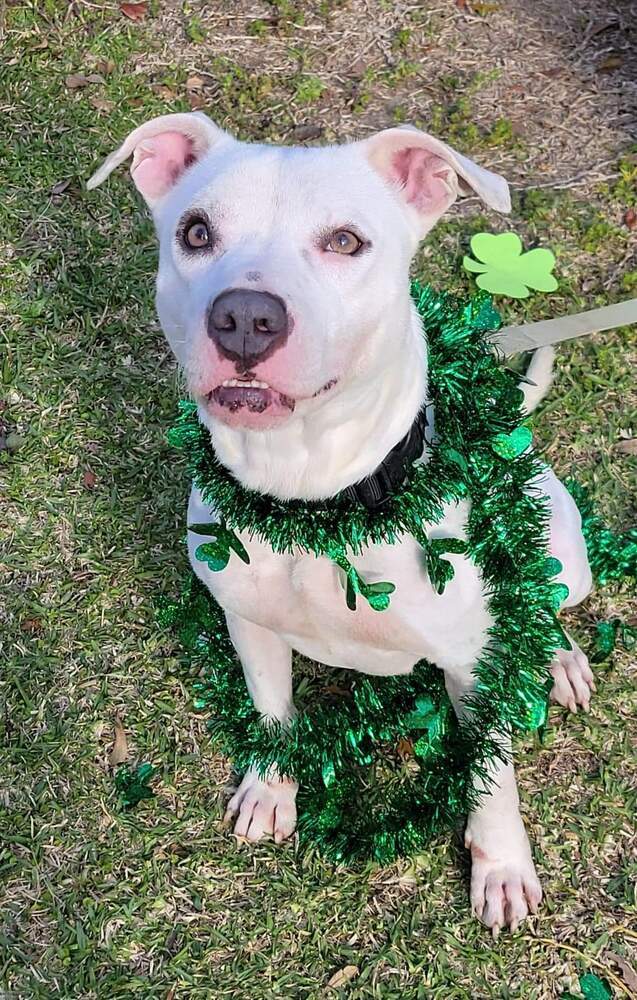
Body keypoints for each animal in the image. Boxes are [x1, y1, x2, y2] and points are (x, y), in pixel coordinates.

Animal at [90, 113, 596, 932]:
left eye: (346, 241)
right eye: (196, 231)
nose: (245, 317)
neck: (313, 505)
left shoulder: (468, 663)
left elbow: (490, 776)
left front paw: (500, 867)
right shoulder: (250, 625)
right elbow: (270, 714)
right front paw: (270, 791)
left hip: (560, 545)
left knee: (546, 599)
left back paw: (560, 660)